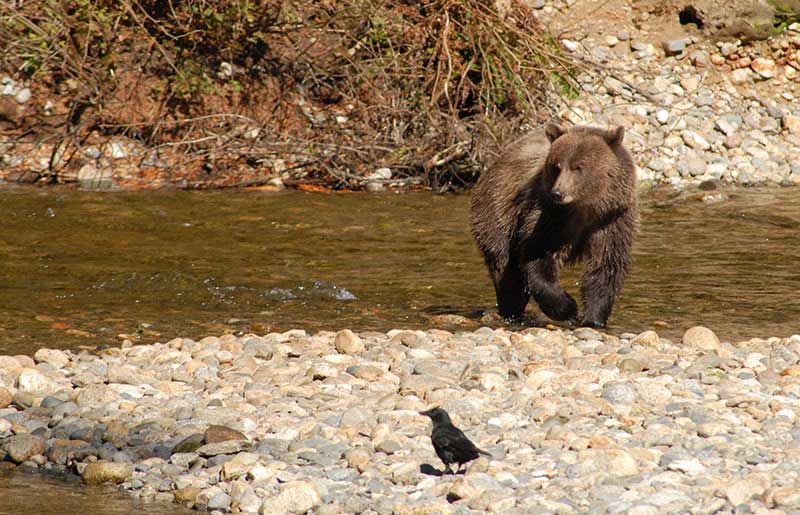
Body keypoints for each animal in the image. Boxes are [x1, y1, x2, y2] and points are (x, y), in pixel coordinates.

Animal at [468, 123, 636, 328]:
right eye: (556, 166)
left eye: (579, 167)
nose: (558, 192)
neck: (585, 209)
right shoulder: (548, 216)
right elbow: (537, 255)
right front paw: (569, 309)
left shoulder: (612, 221)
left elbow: (605, 267)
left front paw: (593, 319)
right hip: (497, 212)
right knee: (506, 270)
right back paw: (511, 311)